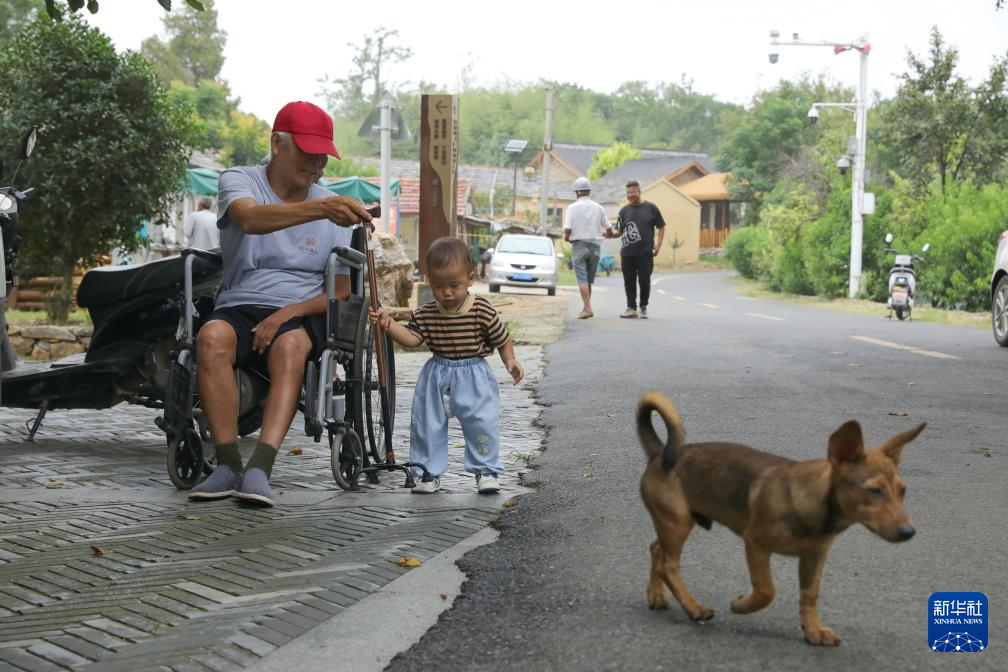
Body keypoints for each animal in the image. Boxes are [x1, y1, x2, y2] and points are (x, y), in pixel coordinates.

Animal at [641, 390, 923, 644]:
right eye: (874, 491)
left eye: (903, 490)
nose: (909, 532)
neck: (816, 507)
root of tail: (659, 452)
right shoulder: (755, 544)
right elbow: (766, 590)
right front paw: (741, 605)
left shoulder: (814, 557)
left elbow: (810, 595)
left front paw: (813, 630)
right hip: (677, 522)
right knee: (668, 565)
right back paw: (694, 608)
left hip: (675, 521)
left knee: (656, 549)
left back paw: (656, 595)